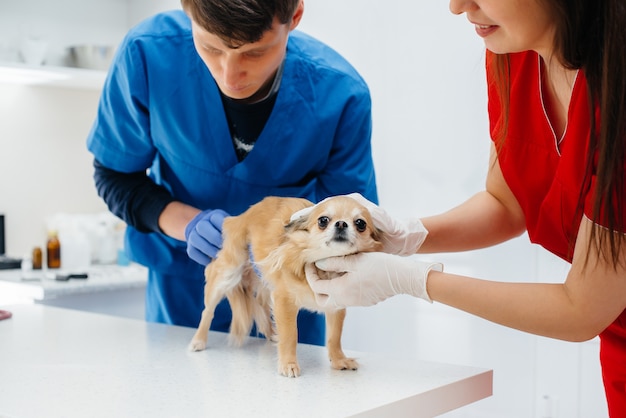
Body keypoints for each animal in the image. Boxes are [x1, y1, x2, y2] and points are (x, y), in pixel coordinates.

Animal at [186, 197, 380, 378]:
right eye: (323, 221)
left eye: (360, 223)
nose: (341, 223)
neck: (323, 268)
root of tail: (241, 216)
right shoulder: (284, 300)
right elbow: (290, 335)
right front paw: (288, 364)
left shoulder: (335, 306)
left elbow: (334, 337)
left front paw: (339, 360)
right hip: (228, 272)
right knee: (208, 311)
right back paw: (198, 340)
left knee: (262, 304)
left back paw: (272, 332)